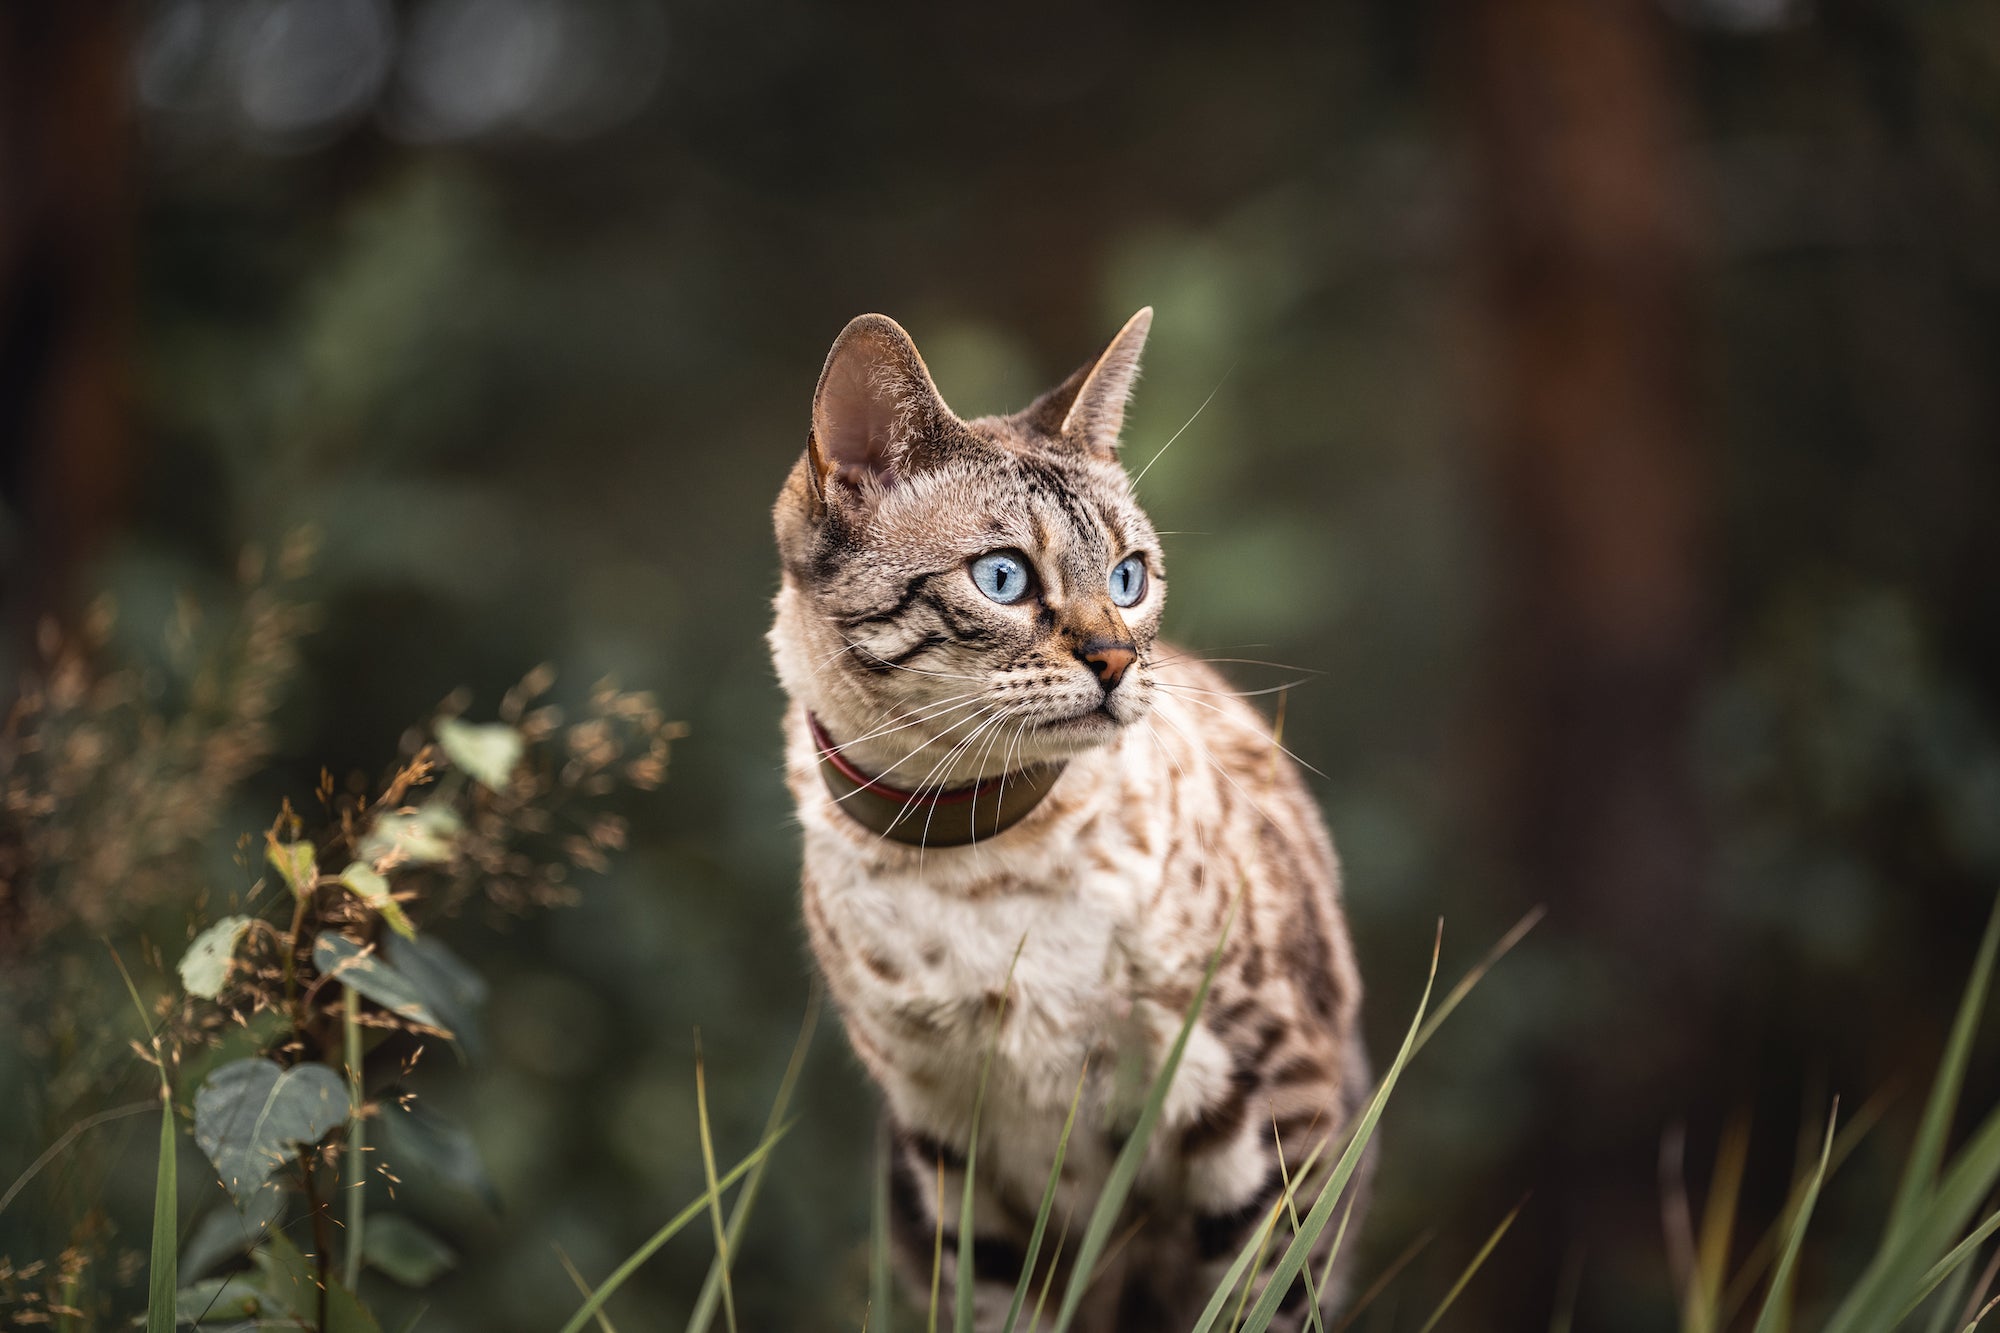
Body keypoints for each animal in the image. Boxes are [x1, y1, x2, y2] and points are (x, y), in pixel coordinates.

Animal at [768, 306, 1376, 1320]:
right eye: (1004, 578)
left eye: (1131, 578)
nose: (1118, 659)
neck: (974, 857)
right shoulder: (964, 1169)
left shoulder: (1270, 1118)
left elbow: (1266, 1303)